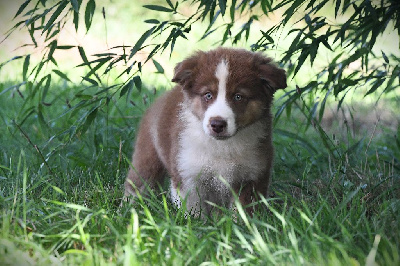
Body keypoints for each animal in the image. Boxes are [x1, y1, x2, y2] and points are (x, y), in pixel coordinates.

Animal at [123, 47, 286, 217]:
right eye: (208, 95)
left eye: (238, 97)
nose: (217, 124)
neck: (222, 147)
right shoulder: (187, 173)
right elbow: (193, 211)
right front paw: (195, 223)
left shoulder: (253, 176)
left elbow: (244, 212)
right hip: (147, 155)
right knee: (139, 183)